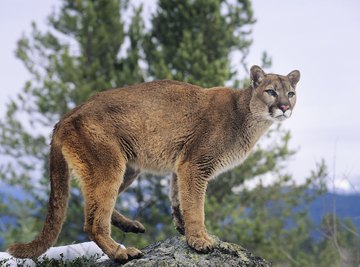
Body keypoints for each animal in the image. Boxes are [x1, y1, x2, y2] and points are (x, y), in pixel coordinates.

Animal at [9, 66, 300, 262]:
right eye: (271, 92)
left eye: (291, 93)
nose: (285, 107)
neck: (248, 116)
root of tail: (67, 116)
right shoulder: (196, 164)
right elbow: (195, 205)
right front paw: (200, 240)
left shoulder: (181, 165)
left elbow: (179, 198)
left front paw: (184, 229)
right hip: (110, 165)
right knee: (92, 221)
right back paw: (120, 252)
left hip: (127, 167)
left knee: (90, 204)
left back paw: (130, 226)